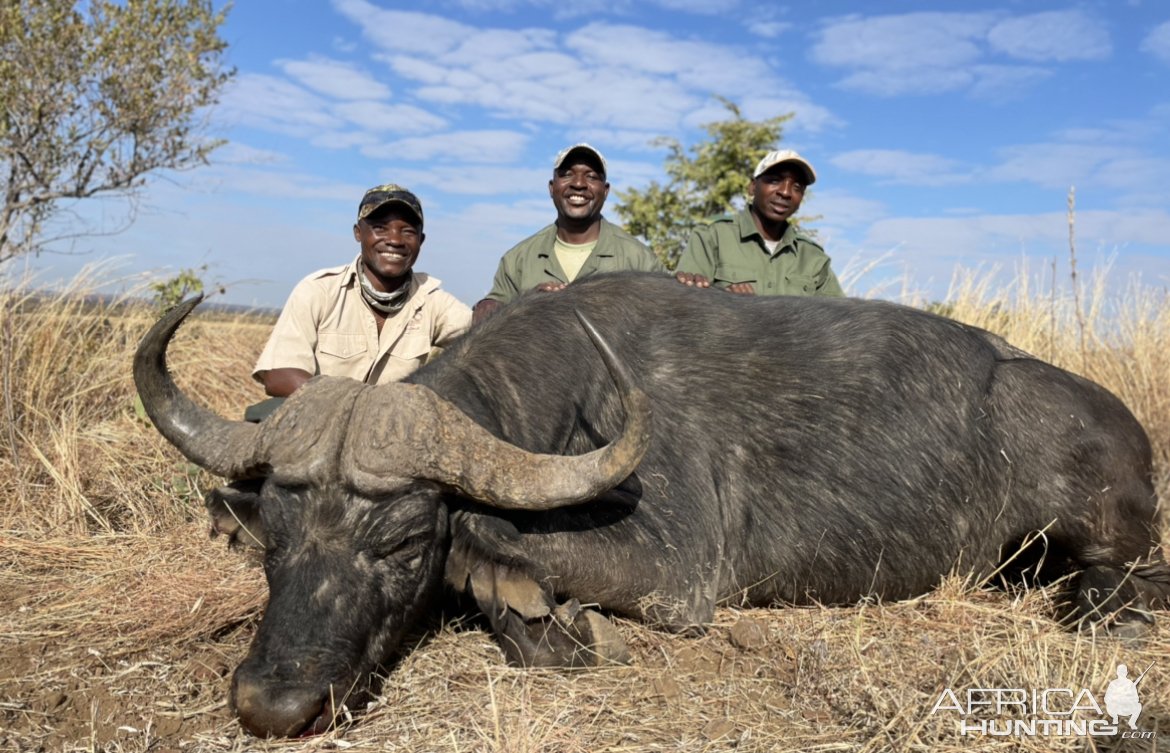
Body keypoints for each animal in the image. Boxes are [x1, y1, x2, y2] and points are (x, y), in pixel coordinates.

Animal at [132, 270, 1165, 734]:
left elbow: (488, 540)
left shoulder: (679, 573)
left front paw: (538, 612)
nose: (273, 703)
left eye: (401, 541)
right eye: (275, 537)